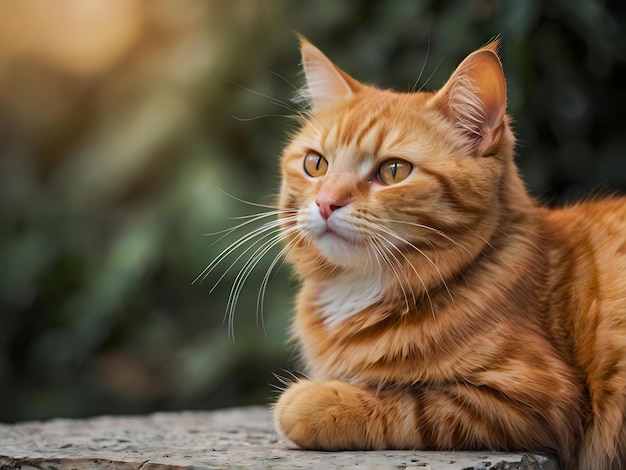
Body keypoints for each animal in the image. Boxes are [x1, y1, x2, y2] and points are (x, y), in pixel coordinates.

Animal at [270, 37, 620, 470]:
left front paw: (312, 402)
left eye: (394, 171)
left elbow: (406, 404)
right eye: (315, 164)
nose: (325, 202)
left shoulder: (535, 400)